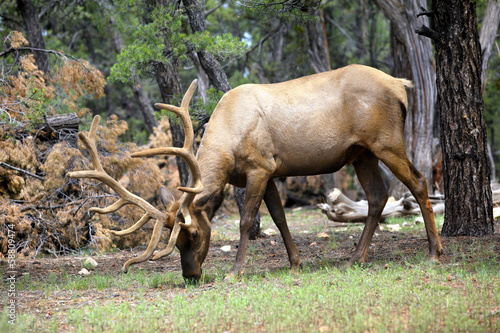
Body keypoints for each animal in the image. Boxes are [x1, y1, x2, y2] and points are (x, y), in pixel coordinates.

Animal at [68, 64, 444, 280]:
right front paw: (295, 263)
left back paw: (434, 251)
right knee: (378, 195)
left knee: (418, 181)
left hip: (386, 141)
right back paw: (355, 258)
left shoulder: (260, 167)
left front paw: (235, 271)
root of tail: (400, 83)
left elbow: (248, 219)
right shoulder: (270, 170)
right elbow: (279, 216)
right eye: (175, 244)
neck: (226, 145)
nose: (191, 276)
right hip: (361, 152)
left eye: (194, 235)